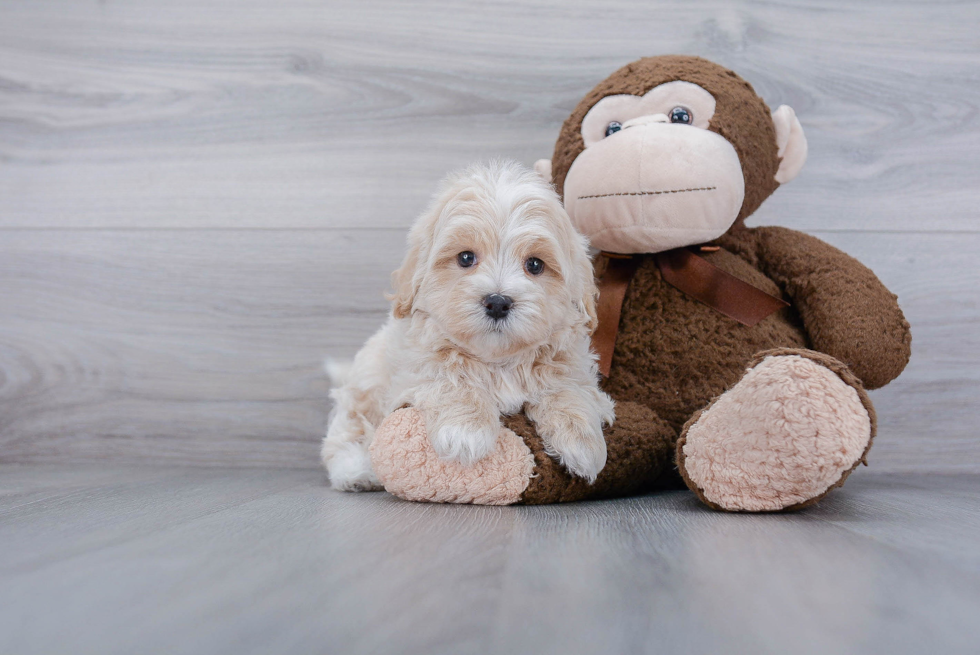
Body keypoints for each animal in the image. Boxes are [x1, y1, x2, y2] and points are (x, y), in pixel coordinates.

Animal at [322, 161, 612, 492]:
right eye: (465, 258)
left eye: (535, 265)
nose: (497, 302)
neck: (498, 361)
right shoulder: (415, 366)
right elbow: (451, 378)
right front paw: (465, 432)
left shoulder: (571, 362)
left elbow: (568, 388)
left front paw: (583, 443)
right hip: (366, 382)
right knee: (348, 425)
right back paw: (356, 469)